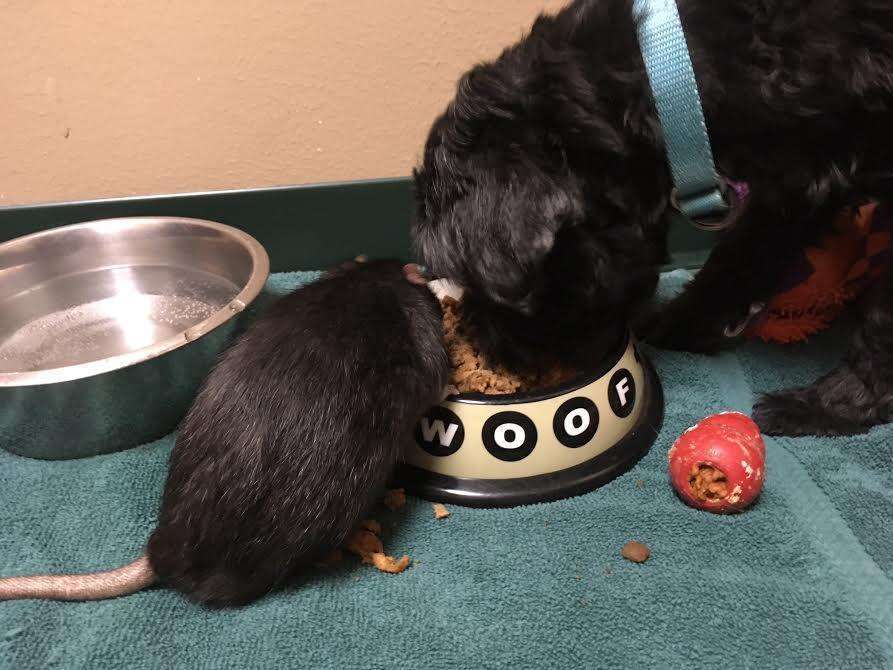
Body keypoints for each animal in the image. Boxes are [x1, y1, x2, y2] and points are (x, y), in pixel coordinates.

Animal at [412, 0, 892, 438]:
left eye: (490, 286)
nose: (481, 344)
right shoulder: (794, 175)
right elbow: (743, 253)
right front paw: (681, 323)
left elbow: (881, 320)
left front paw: (836, 404)